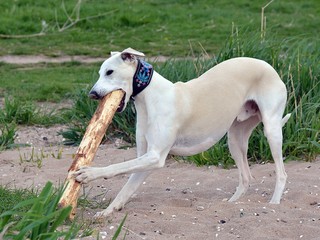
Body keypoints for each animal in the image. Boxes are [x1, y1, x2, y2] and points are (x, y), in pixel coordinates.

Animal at [74, 47, 292, 218]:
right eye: (100, 72)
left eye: (109, 72)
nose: (92, 94)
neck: (150, 97)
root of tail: (269, 66)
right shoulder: (146, 157)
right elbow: (127, 187)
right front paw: (108, 211)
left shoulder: (155, 156)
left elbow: (118, 166)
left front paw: (88, 173)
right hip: (235, 138)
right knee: (246, 177)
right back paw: (231, 203)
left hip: (271, 130)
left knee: (281, 173)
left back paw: (274, 204)